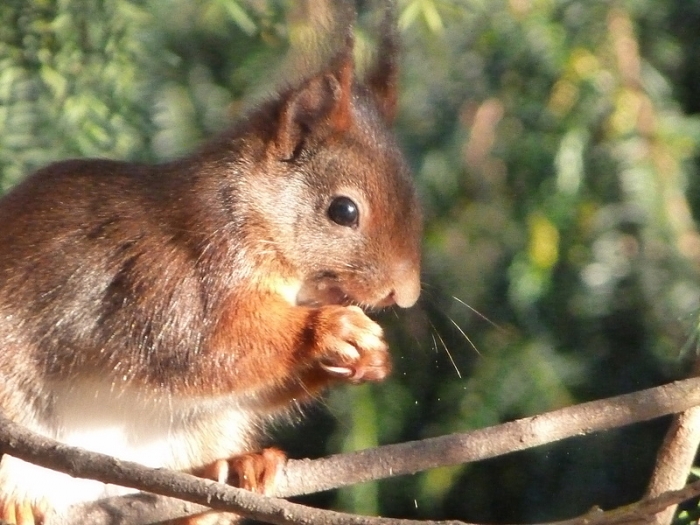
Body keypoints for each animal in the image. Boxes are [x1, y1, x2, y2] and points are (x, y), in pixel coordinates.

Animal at [0, 2, 421, 524]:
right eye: (344, 211)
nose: (406, 293)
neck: (244, 216)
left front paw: (372, 357)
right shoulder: (169, 280)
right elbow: (205, 348)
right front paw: (329, 329)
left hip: (201, 430)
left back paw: (233, 472)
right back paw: (17, 503)